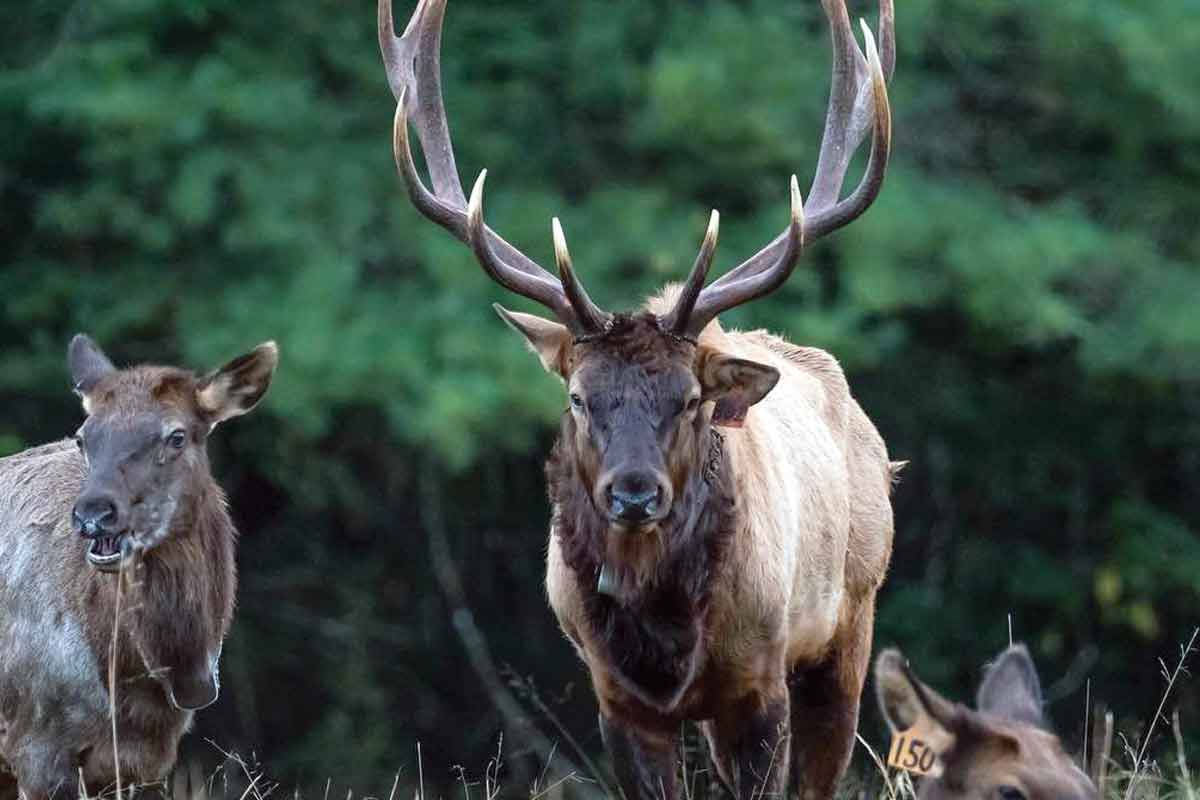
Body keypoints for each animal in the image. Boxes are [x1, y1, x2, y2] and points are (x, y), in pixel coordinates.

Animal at [379, 0, 897, 796]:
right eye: (578, 397)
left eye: (689, 399)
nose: (632, 492)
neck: (664, 645)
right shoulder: (615, 700)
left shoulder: (762, 679)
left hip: (850, 627)